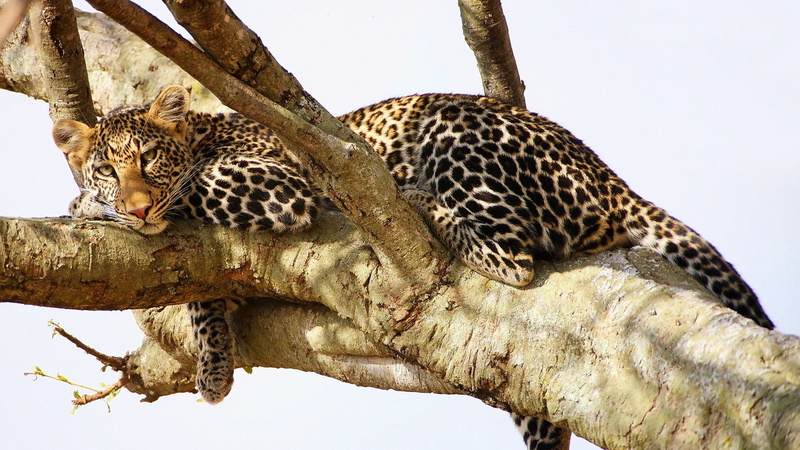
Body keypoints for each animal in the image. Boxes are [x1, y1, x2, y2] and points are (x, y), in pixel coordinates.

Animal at [53, 86, 773, 450]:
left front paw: (89, 207)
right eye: (109, 164)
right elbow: (203, 294)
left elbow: (196, 191)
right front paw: (214, 360)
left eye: (149, 160)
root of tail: (608, 174)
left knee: (514, 259)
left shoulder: (280, 185)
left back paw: (422, 203)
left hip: (455, 131)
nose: (134, 205)